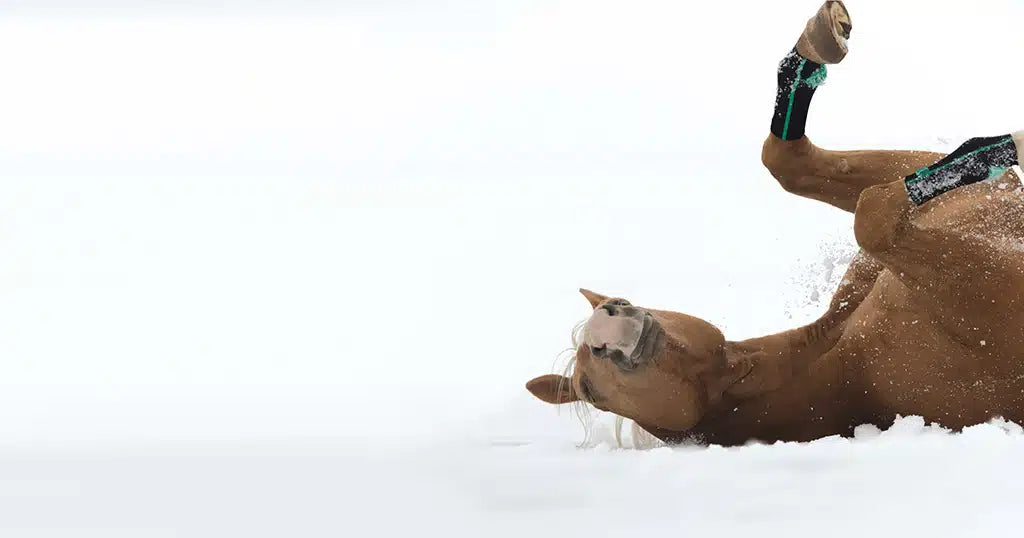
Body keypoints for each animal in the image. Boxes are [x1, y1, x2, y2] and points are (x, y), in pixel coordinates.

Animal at [525, 1, 1024, 446]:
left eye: (621, 297)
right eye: (590, 390)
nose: (604, 328)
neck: (839, 359)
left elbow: (788, 163)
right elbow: (873, 217)